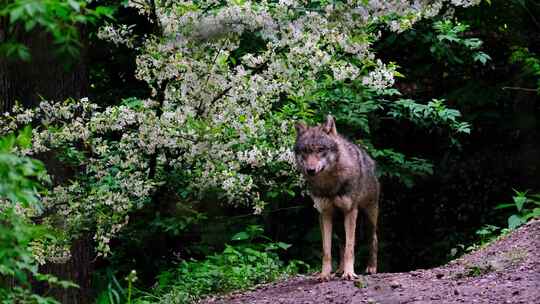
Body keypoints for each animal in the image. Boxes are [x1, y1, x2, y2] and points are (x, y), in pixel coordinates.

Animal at [296, 115, 380, 282]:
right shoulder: (324, 214)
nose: (310, 170)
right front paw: (324, 274)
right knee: (342, 243)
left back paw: (371, 268)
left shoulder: (351, 212)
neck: (329, 184)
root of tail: (370, 161)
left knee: (373, 239)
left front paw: (350, 273)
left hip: (368, 217)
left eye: (320, 150)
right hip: (338, 224)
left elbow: (350, 248)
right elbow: (327, 250)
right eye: (304, 151)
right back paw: (339, 270)